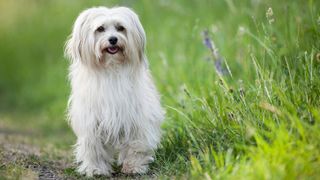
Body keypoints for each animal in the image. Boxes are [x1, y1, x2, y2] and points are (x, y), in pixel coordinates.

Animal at [65, 6, 165, 176]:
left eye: (120, 28)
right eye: (100, 29)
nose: (113, 39)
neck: (111, 69)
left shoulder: (136, 118)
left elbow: (136, 145)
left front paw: (134, 166)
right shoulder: (92, 121)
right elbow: (94, 147)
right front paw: (96, 169)